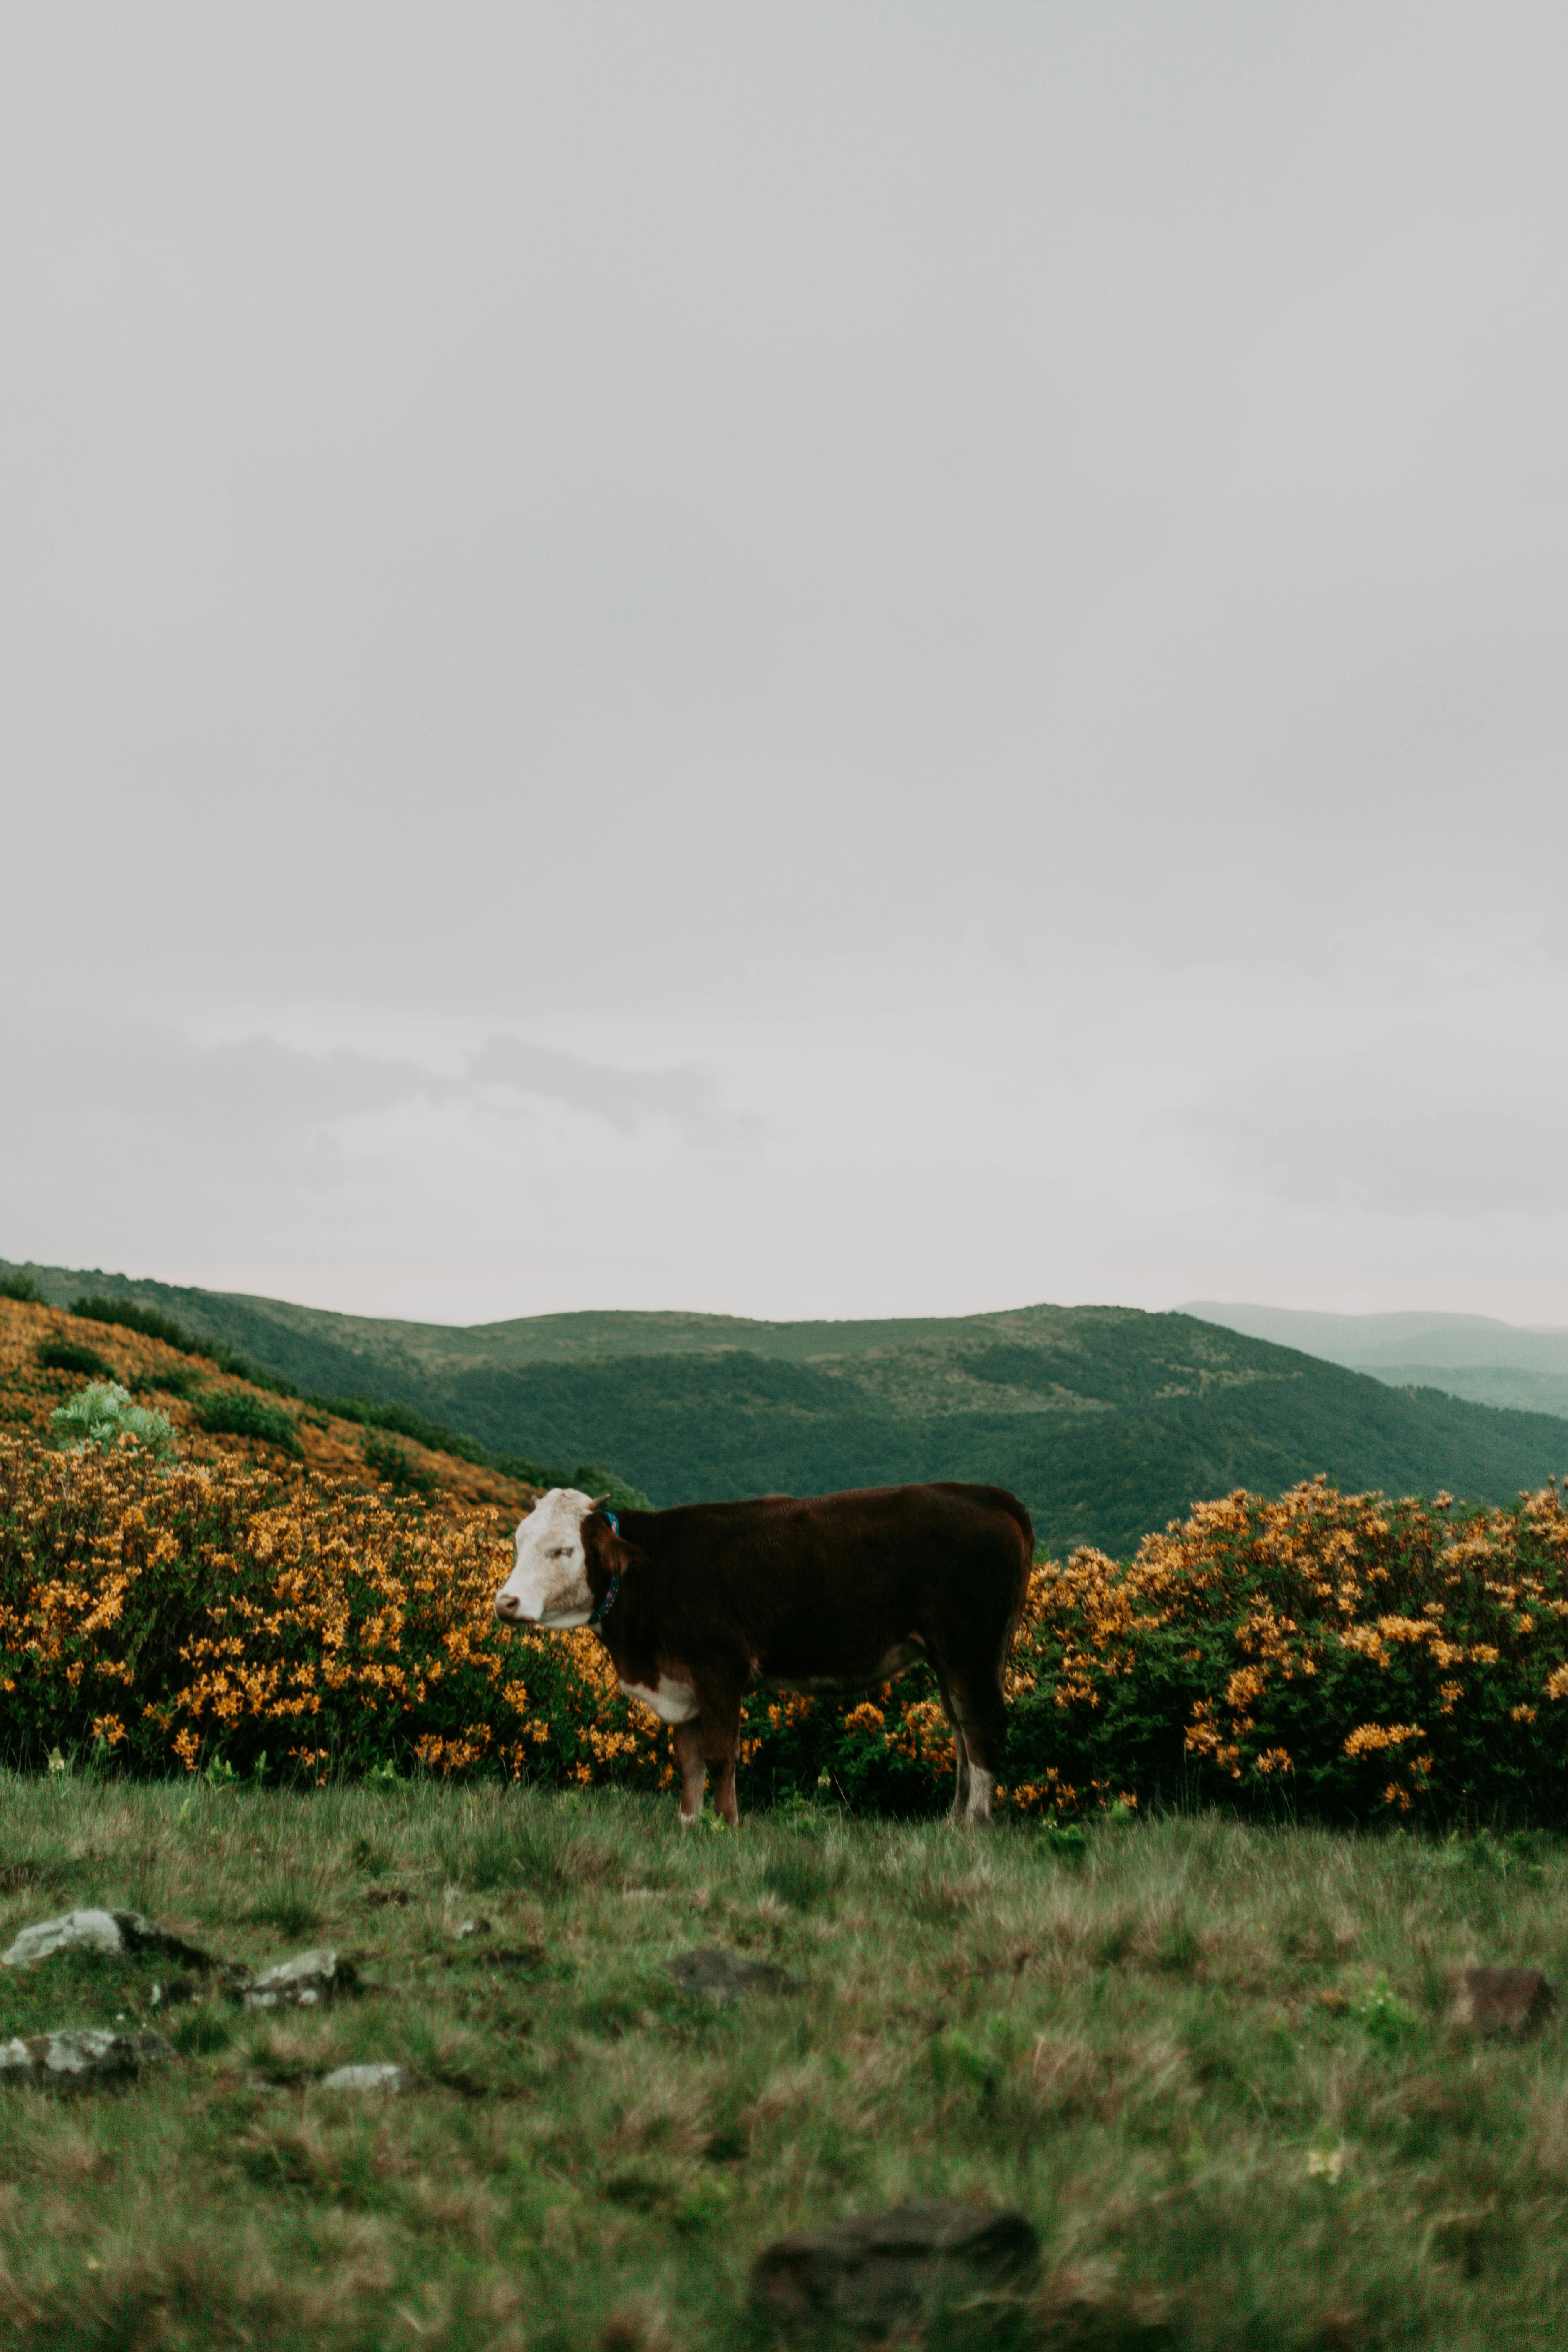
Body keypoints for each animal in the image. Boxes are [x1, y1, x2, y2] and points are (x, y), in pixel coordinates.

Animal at [492, 1481, 1033, 1826]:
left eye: (563, 1550)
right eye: (519, 1541)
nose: (505, 1602)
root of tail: (984, 1494)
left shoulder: (718, 1668)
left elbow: (720, 1755)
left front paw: (725, 1825)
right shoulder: (681, 1683)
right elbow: (688, 1759)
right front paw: (688, 1823)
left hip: (970, 1647)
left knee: (981, 1727)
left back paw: (975, 1825)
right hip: (949, 1656)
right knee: (961, 1732)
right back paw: (953, 1821)